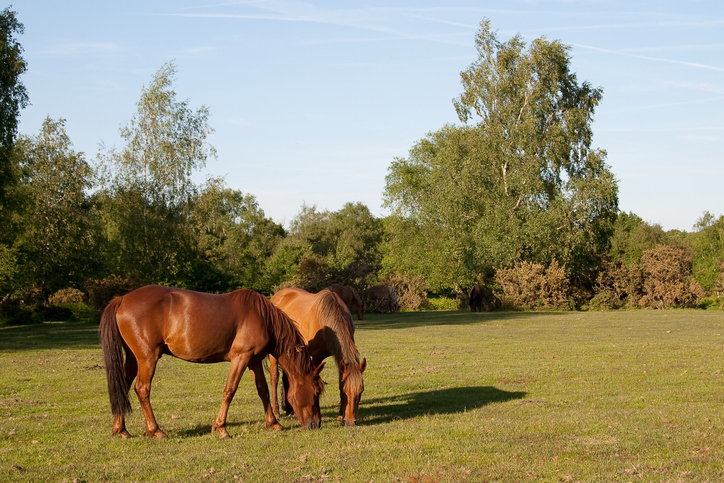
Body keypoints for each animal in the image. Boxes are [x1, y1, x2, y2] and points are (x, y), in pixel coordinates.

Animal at [99, 286, 326, 440]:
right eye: (316, 392)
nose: (316, 424)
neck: (263, 318)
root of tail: (122, 299)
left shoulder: (253, 361)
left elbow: (263, 391)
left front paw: (274, 423)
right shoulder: (240, 358)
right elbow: (229, 391)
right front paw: (221, 428)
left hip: (133, 358)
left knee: (123, 386)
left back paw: (121, 429)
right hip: (147, 358)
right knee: (142, 389)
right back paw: (156, 430)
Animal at [268, 290, 368, 426]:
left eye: (361, 391)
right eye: (344, 391)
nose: (351, 422)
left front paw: (340, 414)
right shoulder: (316, 357)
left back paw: (289, 409)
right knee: (274, 377)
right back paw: (276, 411)